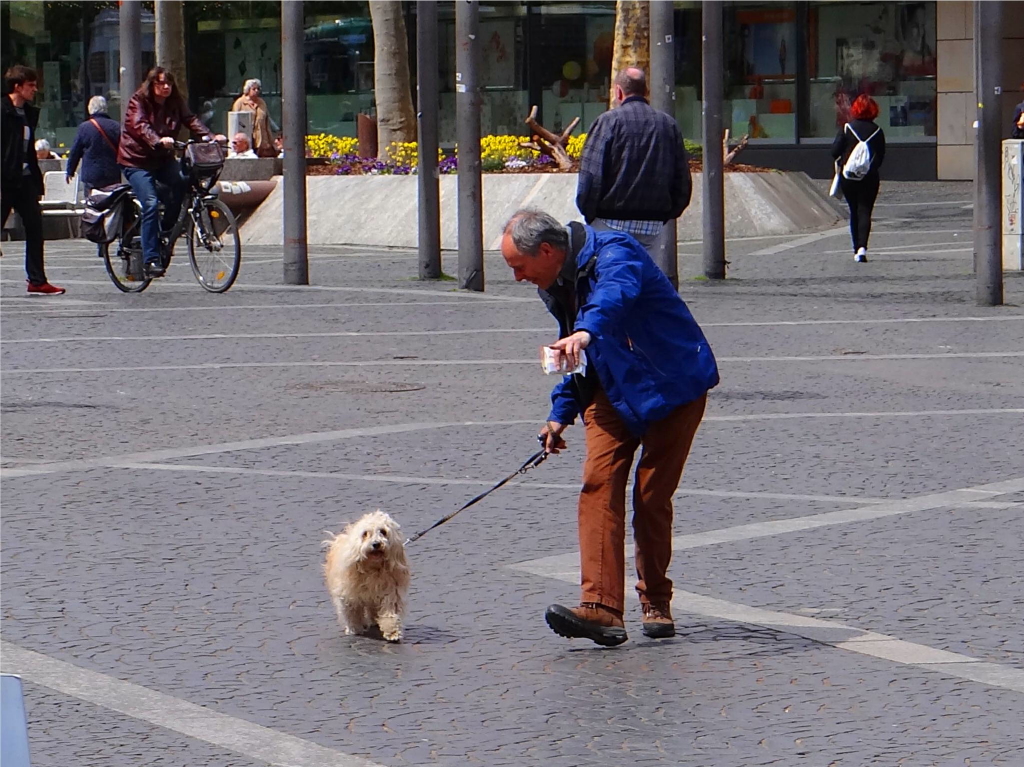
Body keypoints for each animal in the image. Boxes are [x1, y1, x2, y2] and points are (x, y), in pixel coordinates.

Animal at [325, 512, 409, 643]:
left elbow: (390, 613)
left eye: (383, 531)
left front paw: (392, 633)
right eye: (365, 534)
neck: (372, 568)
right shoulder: (348, 595)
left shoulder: (391, 593)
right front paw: (355, 628)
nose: (376, 544)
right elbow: (352, 612)